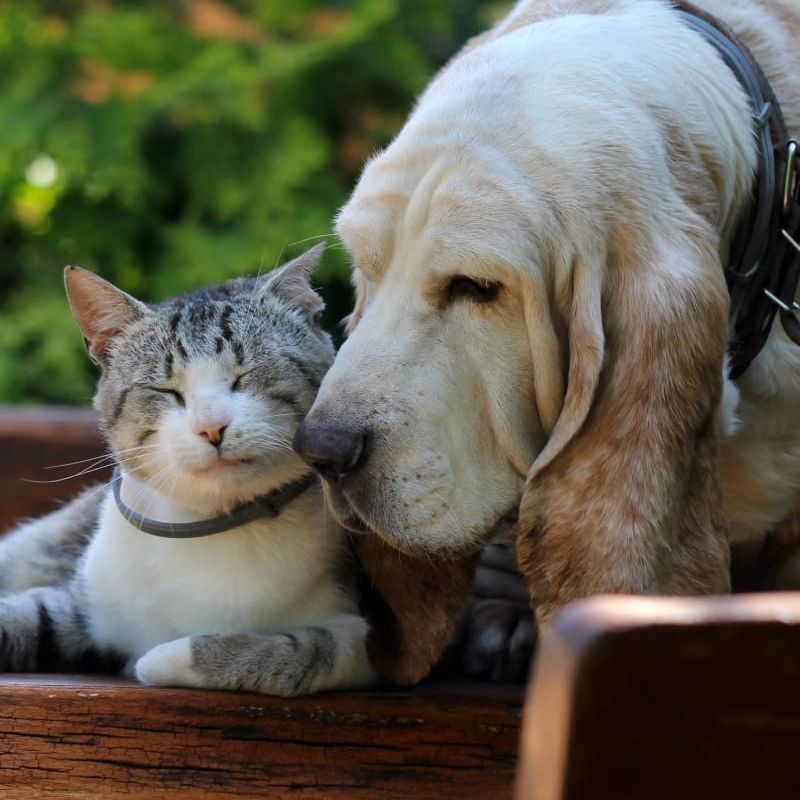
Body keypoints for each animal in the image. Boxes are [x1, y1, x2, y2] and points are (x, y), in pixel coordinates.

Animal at [0, 244, 378, 692]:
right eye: (166, 390)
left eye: (246, 375)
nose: (211, 427)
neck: (211, 523)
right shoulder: (79, 604)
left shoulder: (371, 641)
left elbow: (296, 651)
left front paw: (163, 658)